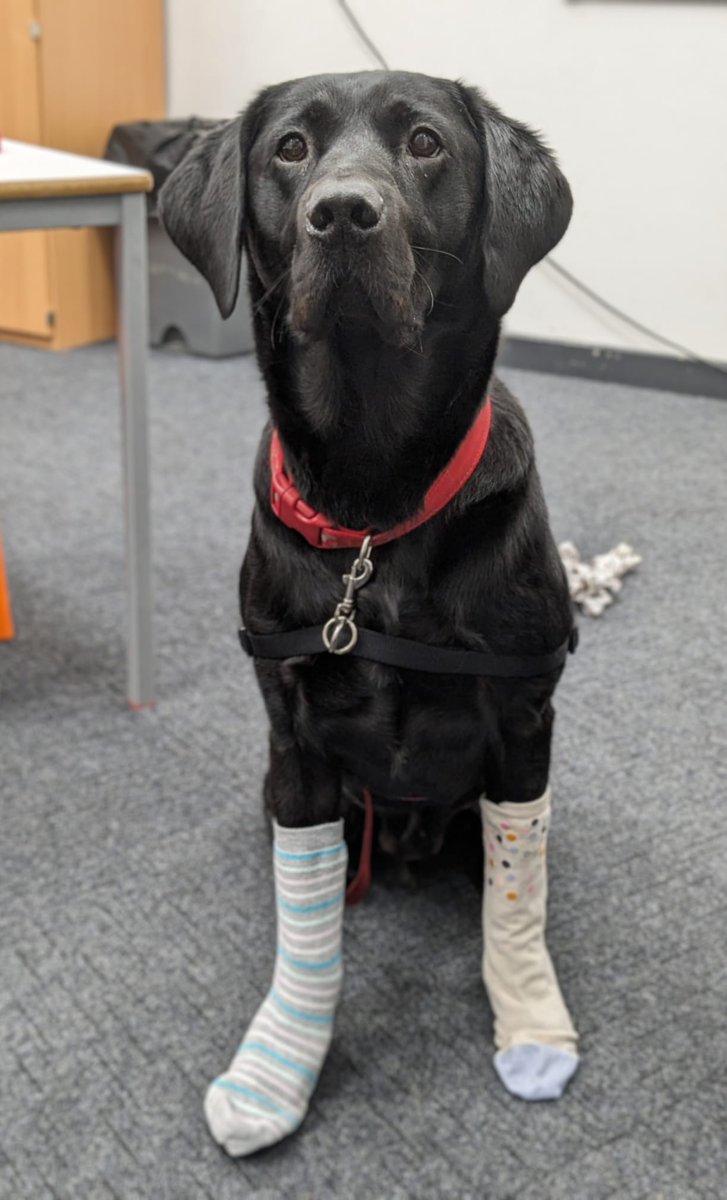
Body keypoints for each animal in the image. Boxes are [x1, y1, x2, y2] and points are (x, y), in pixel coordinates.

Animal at [159, 72, 580, 1152]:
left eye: (425, 143)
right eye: (290, 149)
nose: (343, 213)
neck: (372, 506)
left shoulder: (523, 721)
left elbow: (516, 896)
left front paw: (528, 1013)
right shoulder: (295, 744)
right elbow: (306, 917)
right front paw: (281, 1064)